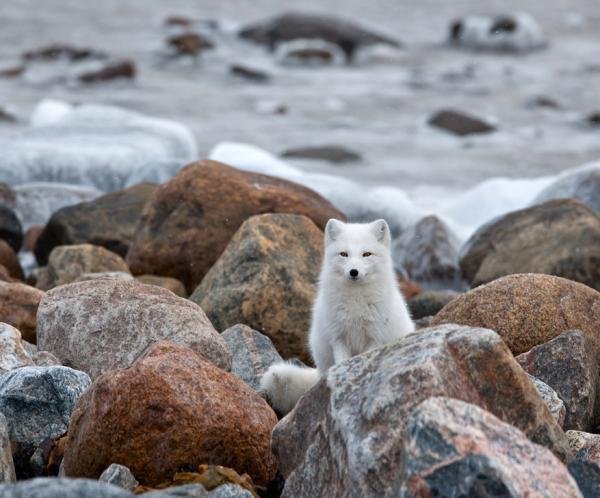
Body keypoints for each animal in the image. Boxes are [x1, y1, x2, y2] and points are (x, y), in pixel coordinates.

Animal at [260, 220, 414, 414]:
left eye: (366, 254)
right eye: (344, 254)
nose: (354, 272)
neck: (356, 301)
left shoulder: (374, 338)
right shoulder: (338, 337)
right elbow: (342, 362)